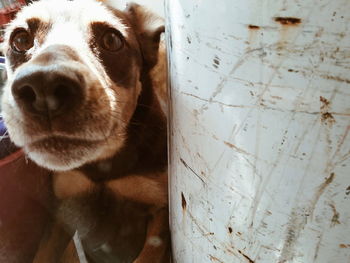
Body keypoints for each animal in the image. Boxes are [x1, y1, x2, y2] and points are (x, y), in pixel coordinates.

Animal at [0, 1, 170, 262]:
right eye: (20, 40)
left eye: (112, 39)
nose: (44, 88)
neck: (103, 166)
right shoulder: (62, 211)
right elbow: (43, 253)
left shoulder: (159, 213)